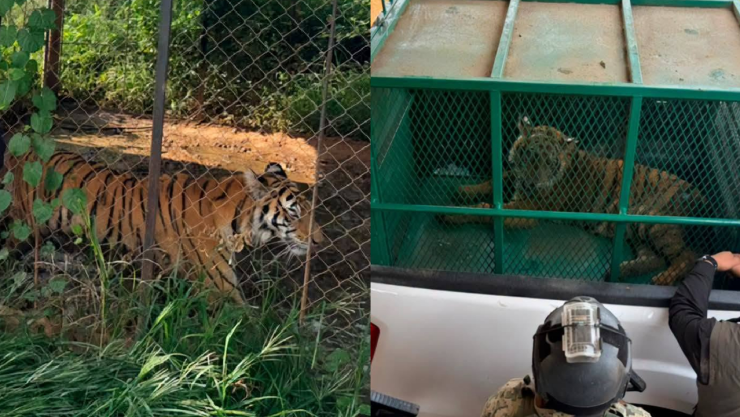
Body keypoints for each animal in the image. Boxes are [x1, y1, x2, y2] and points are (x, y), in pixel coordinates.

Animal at [443, 116, 703, 286]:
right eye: (530, 156)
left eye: (549, 162)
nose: (535, 184)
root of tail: (696, 191)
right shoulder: (517, 180)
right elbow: (494, 180)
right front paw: (463, 191)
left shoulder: (526, 209)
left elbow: (487, 211)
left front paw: (452, 213)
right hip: (636, 232)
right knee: (654, 257)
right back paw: (622, 271)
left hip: (651, 221)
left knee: (688, 255)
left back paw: (662, 279)